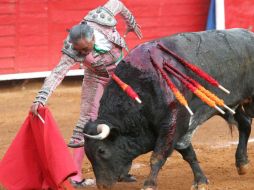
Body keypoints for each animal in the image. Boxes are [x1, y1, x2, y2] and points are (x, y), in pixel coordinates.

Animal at [83, 28, 254, 190]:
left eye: (101, 150)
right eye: (87, 153)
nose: (102, 186)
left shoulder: (171, 125)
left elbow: (158, 156)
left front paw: (149, 184)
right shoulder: (181, 128)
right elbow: (189, 154)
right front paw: (200, 181)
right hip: (227, 105)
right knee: (245, 124)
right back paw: (242, 163)